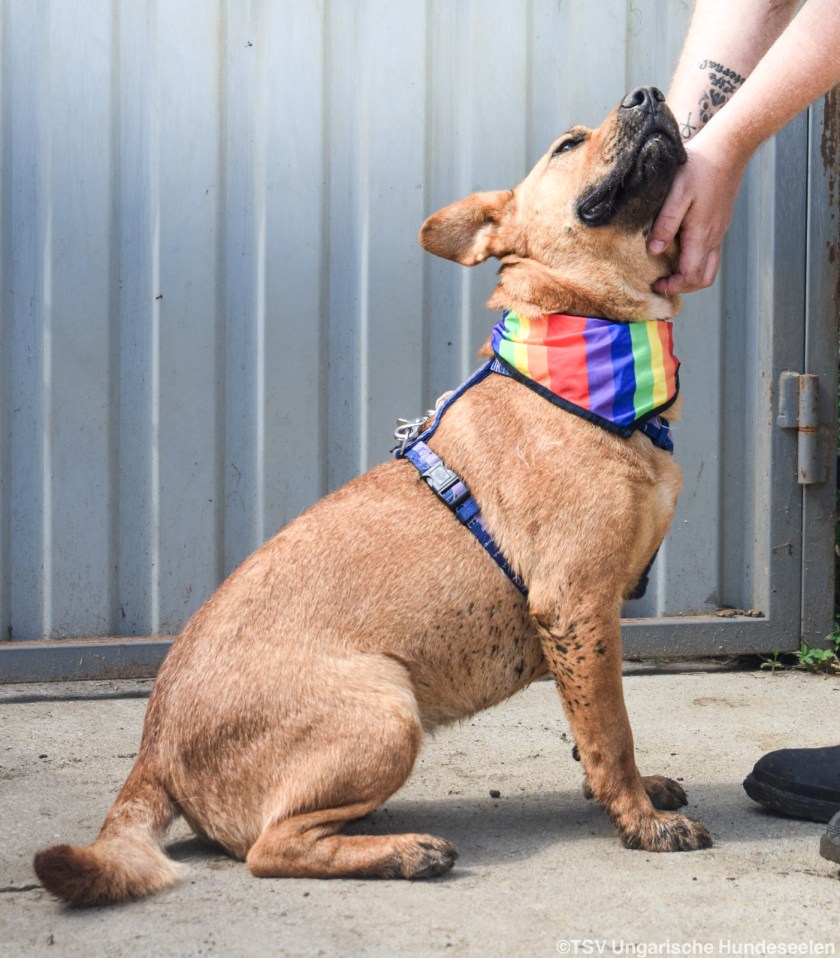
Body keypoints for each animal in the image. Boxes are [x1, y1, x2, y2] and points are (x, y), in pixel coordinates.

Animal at [34, 86, 711, 907]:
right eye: (566, 143)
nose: (650, 93)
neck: (590, 358)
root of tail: (152, 751)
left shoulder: (585, 626)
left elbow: (593, 728)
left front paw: (624, 796)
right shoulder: (576, 602)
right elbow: (613, 732)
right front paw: (642, 822)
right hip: (388, 712)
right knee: (270, 848)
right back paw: (405, 852)